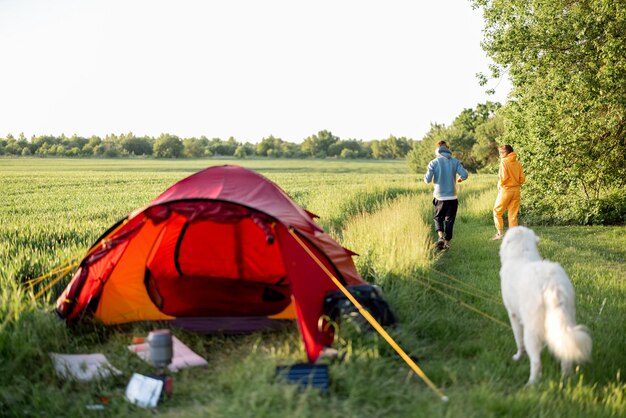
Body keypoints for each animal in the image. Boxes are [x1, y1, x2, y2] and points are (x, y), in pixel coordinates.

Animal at [498, 227, 588, 384]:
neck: (521, 253)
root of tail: (552, 284)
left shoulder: (513, 315)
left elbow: (518, 340)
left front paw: (517, 357)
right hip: (567, 319)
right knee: (565, 356)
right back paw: (566, 379)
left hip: (532, 330)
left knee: (536, 362)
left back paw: (531, 384)